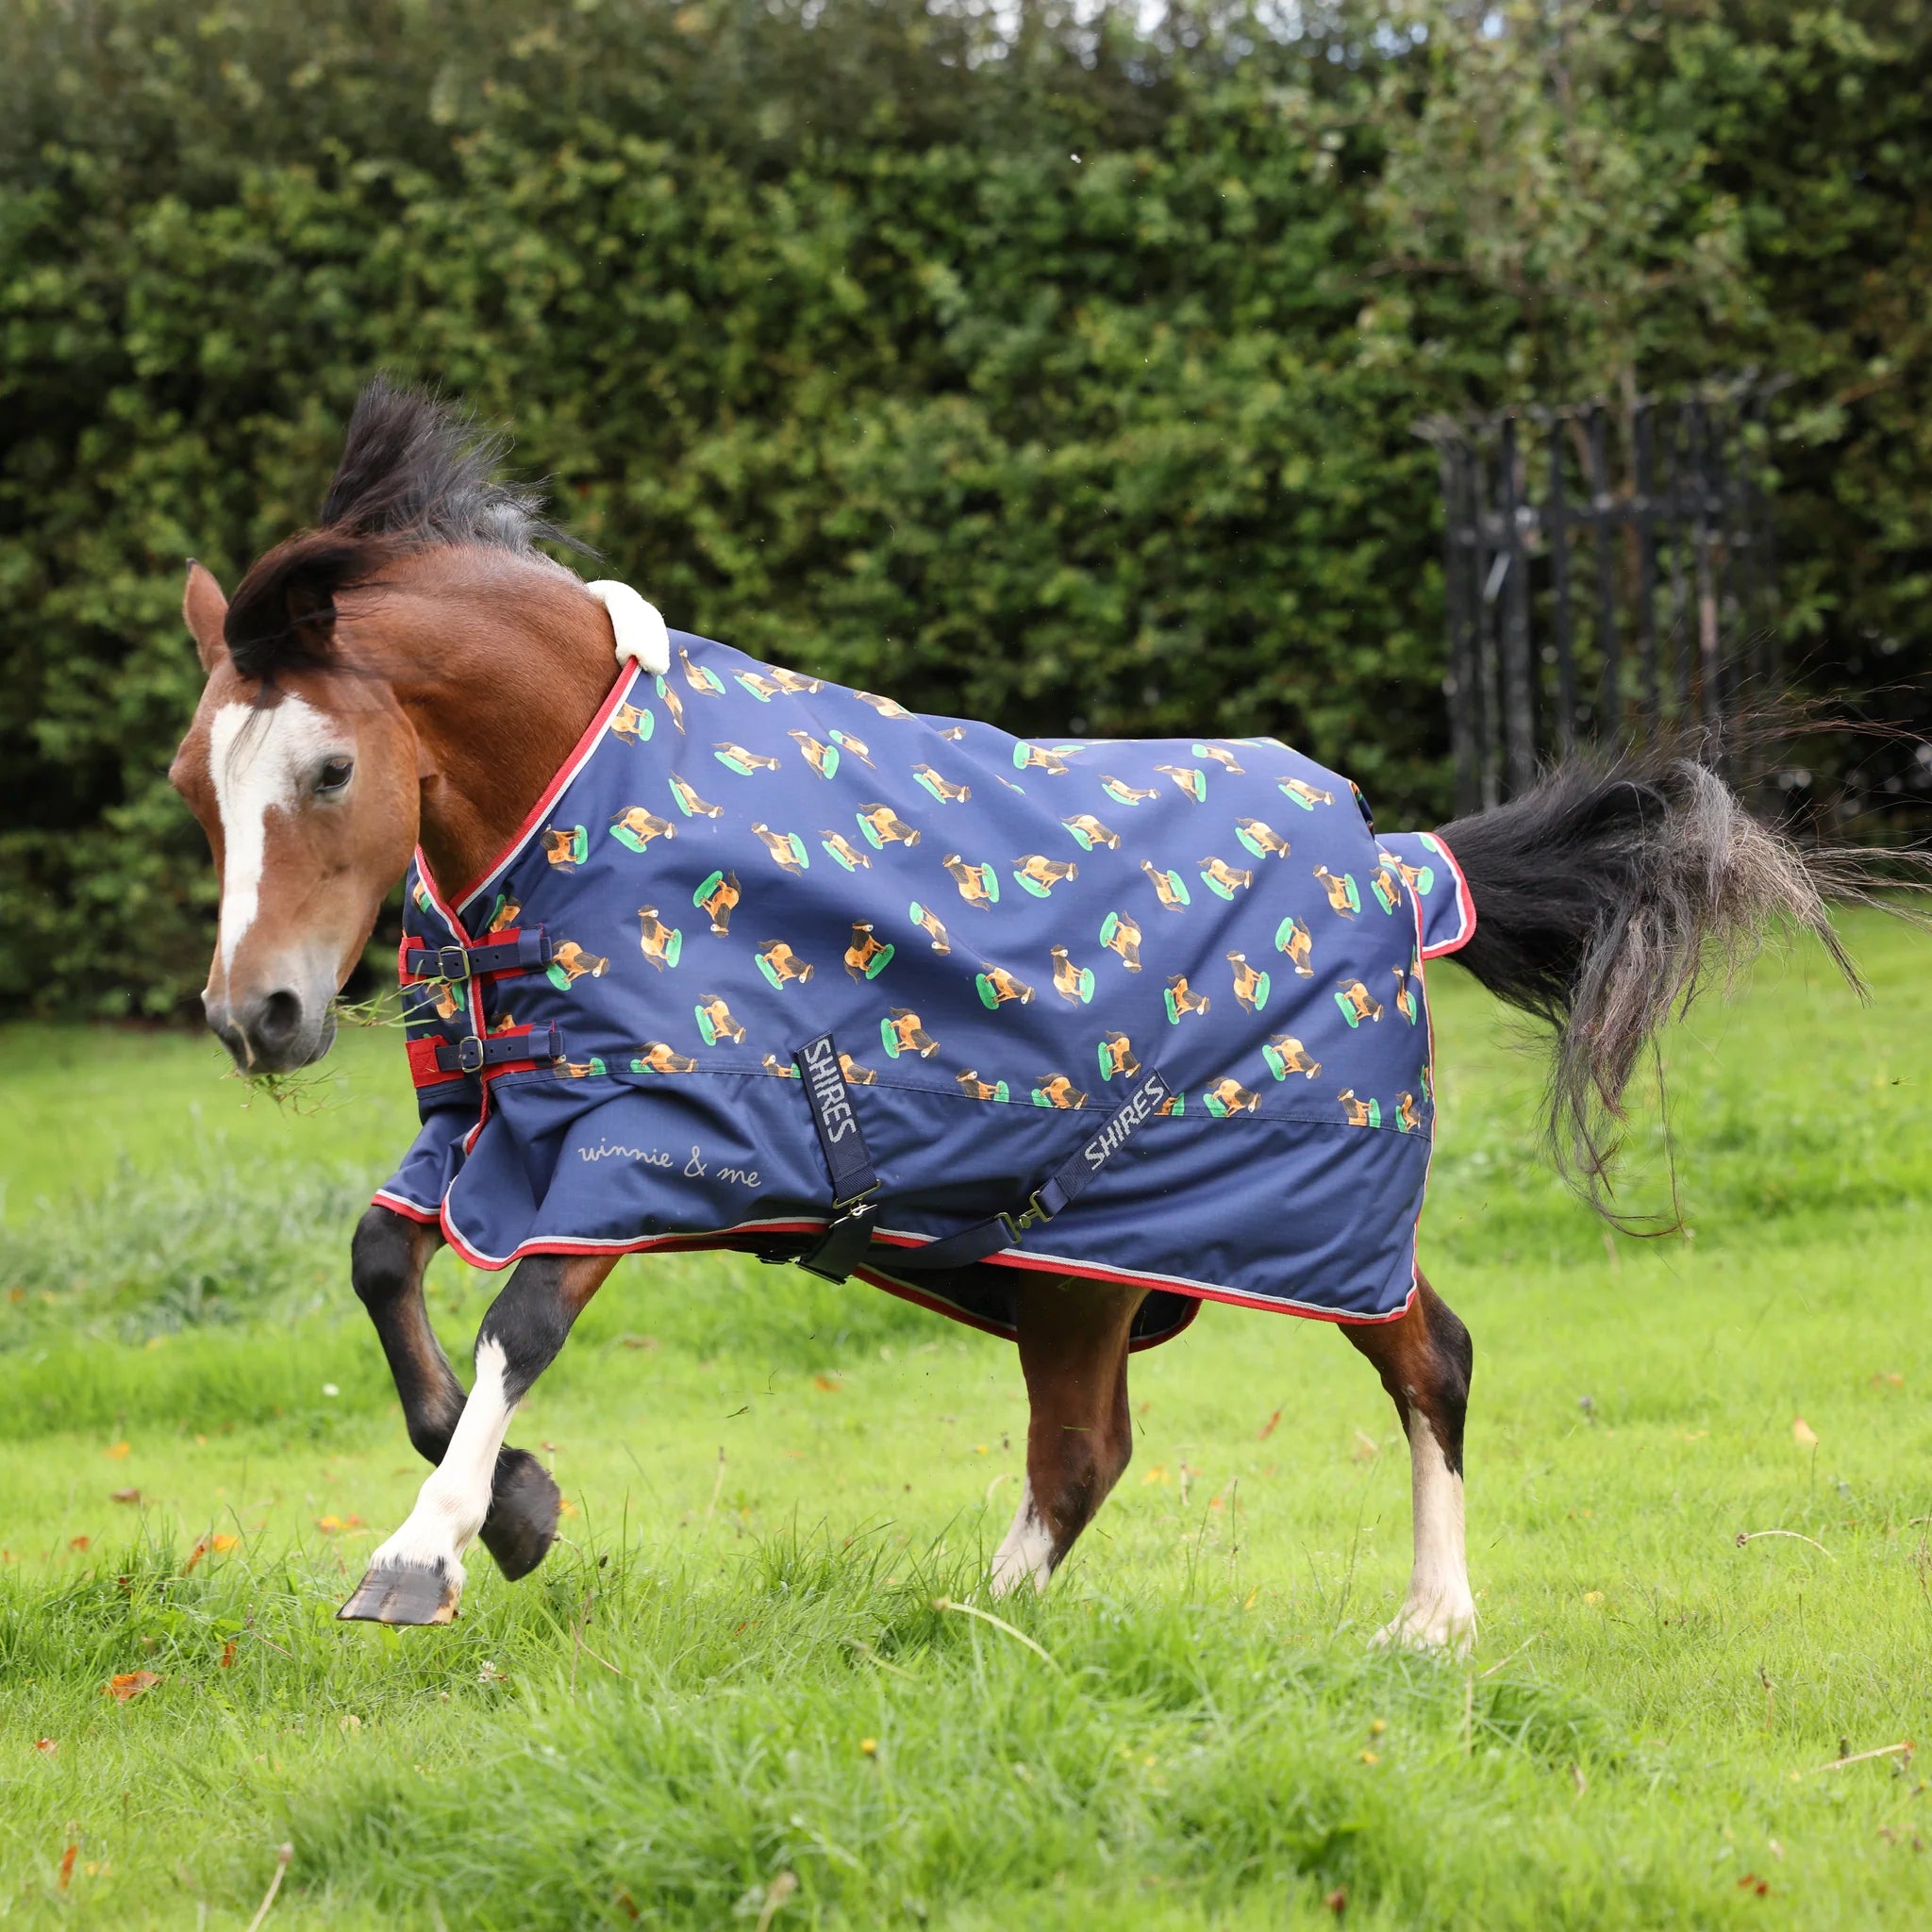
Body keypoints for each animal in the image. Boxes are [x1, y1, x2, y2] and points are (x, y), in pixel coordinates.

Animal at [169, 380, 1875, 1642]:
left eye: (330, 767)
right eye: (196, 783)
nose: (258, 1013)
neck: (592, 798)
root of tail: (1402, 863)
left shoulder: (654, 1135)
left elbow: (515, 1320)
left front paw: (425, 1552)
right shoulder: (492, 1118)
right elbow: (382, 1261)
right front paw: (520, 1507)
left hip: (1274, 1217)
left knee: (1415, 1360)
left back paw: (1422, 1624)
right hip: (1080, 1265)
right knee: (1094, 1449)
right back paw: (980, 1622)